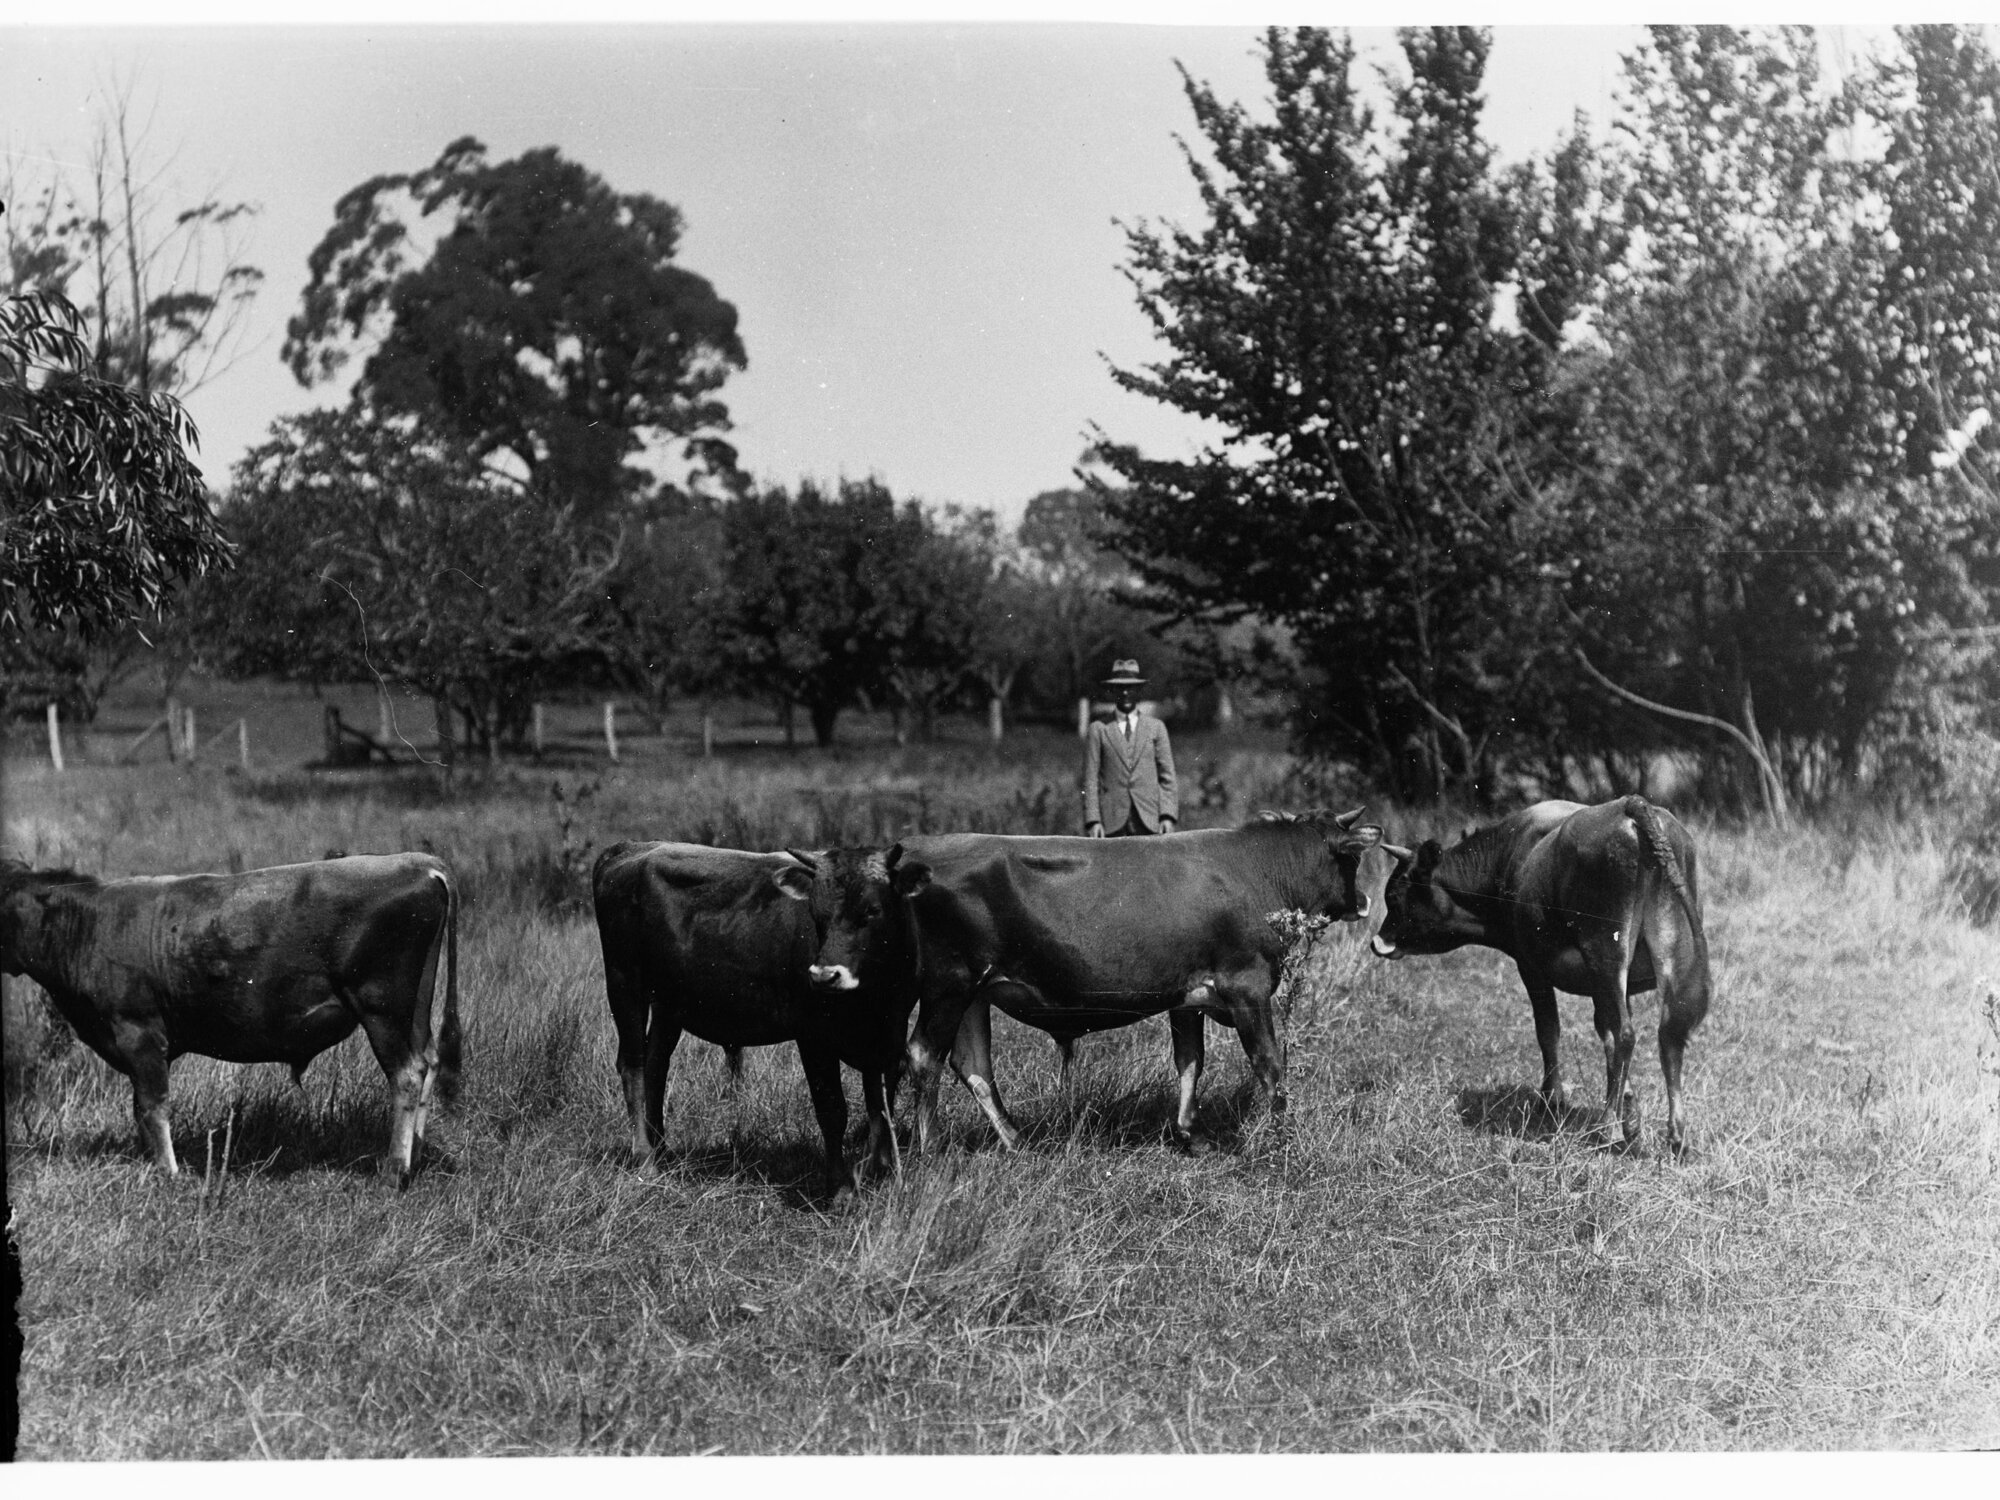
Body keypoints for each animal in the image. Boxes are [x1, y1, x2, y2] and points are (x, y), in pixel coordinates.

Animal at [0, 853, 461, 1186]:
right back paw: (415, 1156)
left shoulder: (139, 1033)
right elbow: (139, 1109)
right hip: (414, 1009)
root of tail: (419, 861)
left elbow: (153, 1106)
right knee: (429, 1063)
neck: (88, 925)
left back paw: (394, 1172)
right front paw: (152, 1164)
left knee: (406, 1074)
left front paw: (169, 1173)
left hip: (382, 1009)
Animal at [591, 841, 917, 1196]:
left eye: (872, 910)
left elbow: (880, 1107)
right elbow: (832, 1110)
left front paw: (881, 1172)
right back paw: (645, 1158)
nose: (824, 975)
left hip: (667, 1003)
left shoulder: (889, 1037)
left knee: (655, 1065)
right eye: (816, 913)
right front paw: (840, 1187)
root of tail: (631, 849)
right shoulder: (813, 1036)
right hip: (624, 983)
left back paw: (662, 1148)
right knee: (633, 1066)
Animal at [795, 810, 1383, 1155]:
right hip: (949, 984)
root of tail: (913, 850)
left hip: (972, 992)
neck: (1259, 869)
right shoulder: (1248, 987)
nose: (1364, 901)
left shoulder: (1187, 996)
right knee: (924, 1056)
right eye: (1350, 860)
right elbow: (1269, 1066)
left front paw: (1189, 1134)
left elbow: (1190, 1062)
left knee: (972, 1064)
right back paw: (932, 1149)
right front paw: (1282, 1134)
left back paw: (1016, 1141)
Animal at [1368, 795, 1711, 1153]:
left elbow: (1549, 1030)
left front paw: (1553, 1099)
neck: (1508, 861)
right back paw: (1675, 1136)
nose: (1377, 942)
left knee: (1628, 1033)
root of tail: (1632, 805)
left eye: (1394, 896)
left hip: (1606, 950)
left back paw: (1607, 1131)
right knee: (1669, 1036)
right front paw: (1628, 1113)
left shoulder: (1531, 966)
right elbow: (1605, 1033)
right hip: (1669, 952)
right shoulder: (1609, 987)